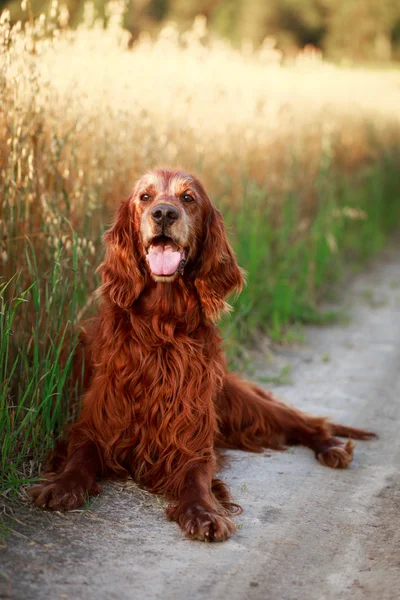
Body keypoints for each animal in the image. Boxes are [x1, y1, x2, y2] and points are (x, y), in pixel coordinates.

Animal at [28, 170, 376, 544]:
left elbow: (196, 477)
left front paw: (204, 512)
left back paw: (331, 447)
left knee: (304, 422)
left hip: (239, 402)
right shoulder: (96, 423)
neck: (161, 327)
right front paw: (62, 486)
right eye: (145, 197)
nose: (164, 214)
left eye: (188, 198)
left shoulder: (192, 438)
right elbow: (79, 457)